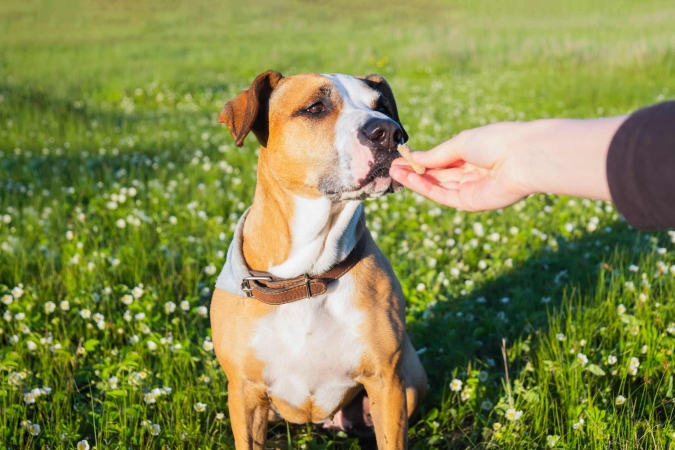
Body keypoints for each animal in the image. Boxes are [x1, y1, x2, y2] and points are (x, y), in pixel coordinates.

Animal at [213, 71, 428, 450]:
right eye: (315, 107)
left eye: (382, 106)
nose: (390, 132)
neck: (307, 276)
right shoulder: (244, 391)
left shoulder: (386, 381)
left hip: (410, 382)